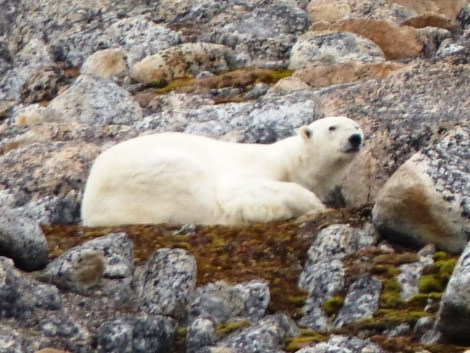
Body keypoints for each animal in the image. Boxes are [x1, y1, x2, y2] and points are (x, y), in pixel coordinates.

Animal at [81, 115, 364, 226]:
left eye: (356, 125)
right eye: (332, 127)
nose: (356, 138)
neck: (291, 160)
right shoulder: (257, 166)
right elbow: (238, 191)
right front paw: (314, 204)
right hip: (149, 173)